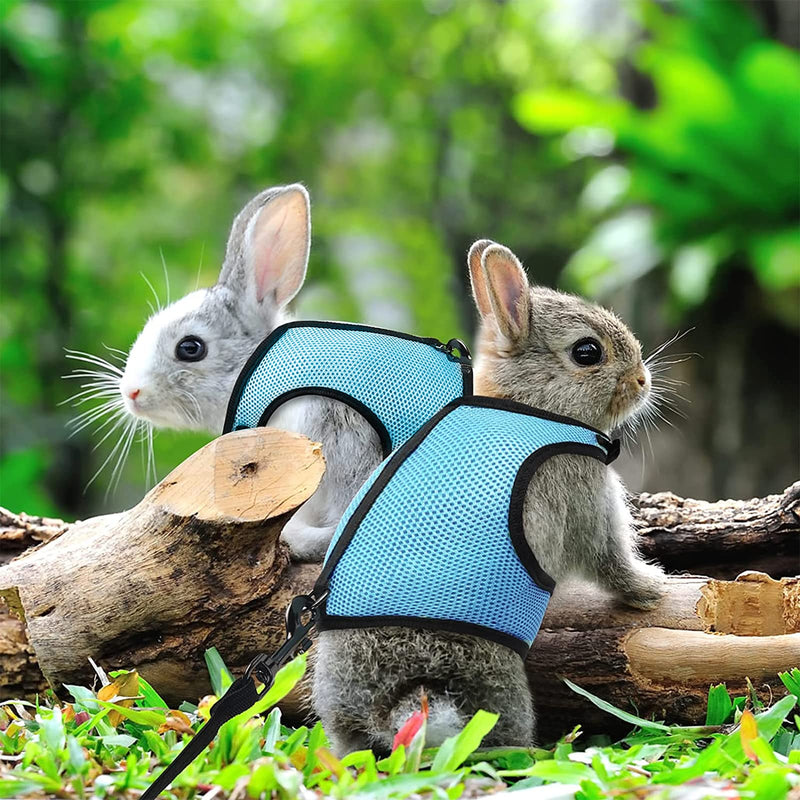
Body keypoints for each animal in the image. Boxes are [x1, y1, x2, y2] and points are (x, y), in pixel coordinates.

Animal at [312, 239, 665, 755]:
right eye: (587, 352)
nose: (642, 381)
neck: (531, 404)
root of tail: (395, 700)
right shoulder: (586, 500)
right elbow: (610, 561)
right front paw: (652, 589)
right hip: (495, 683)